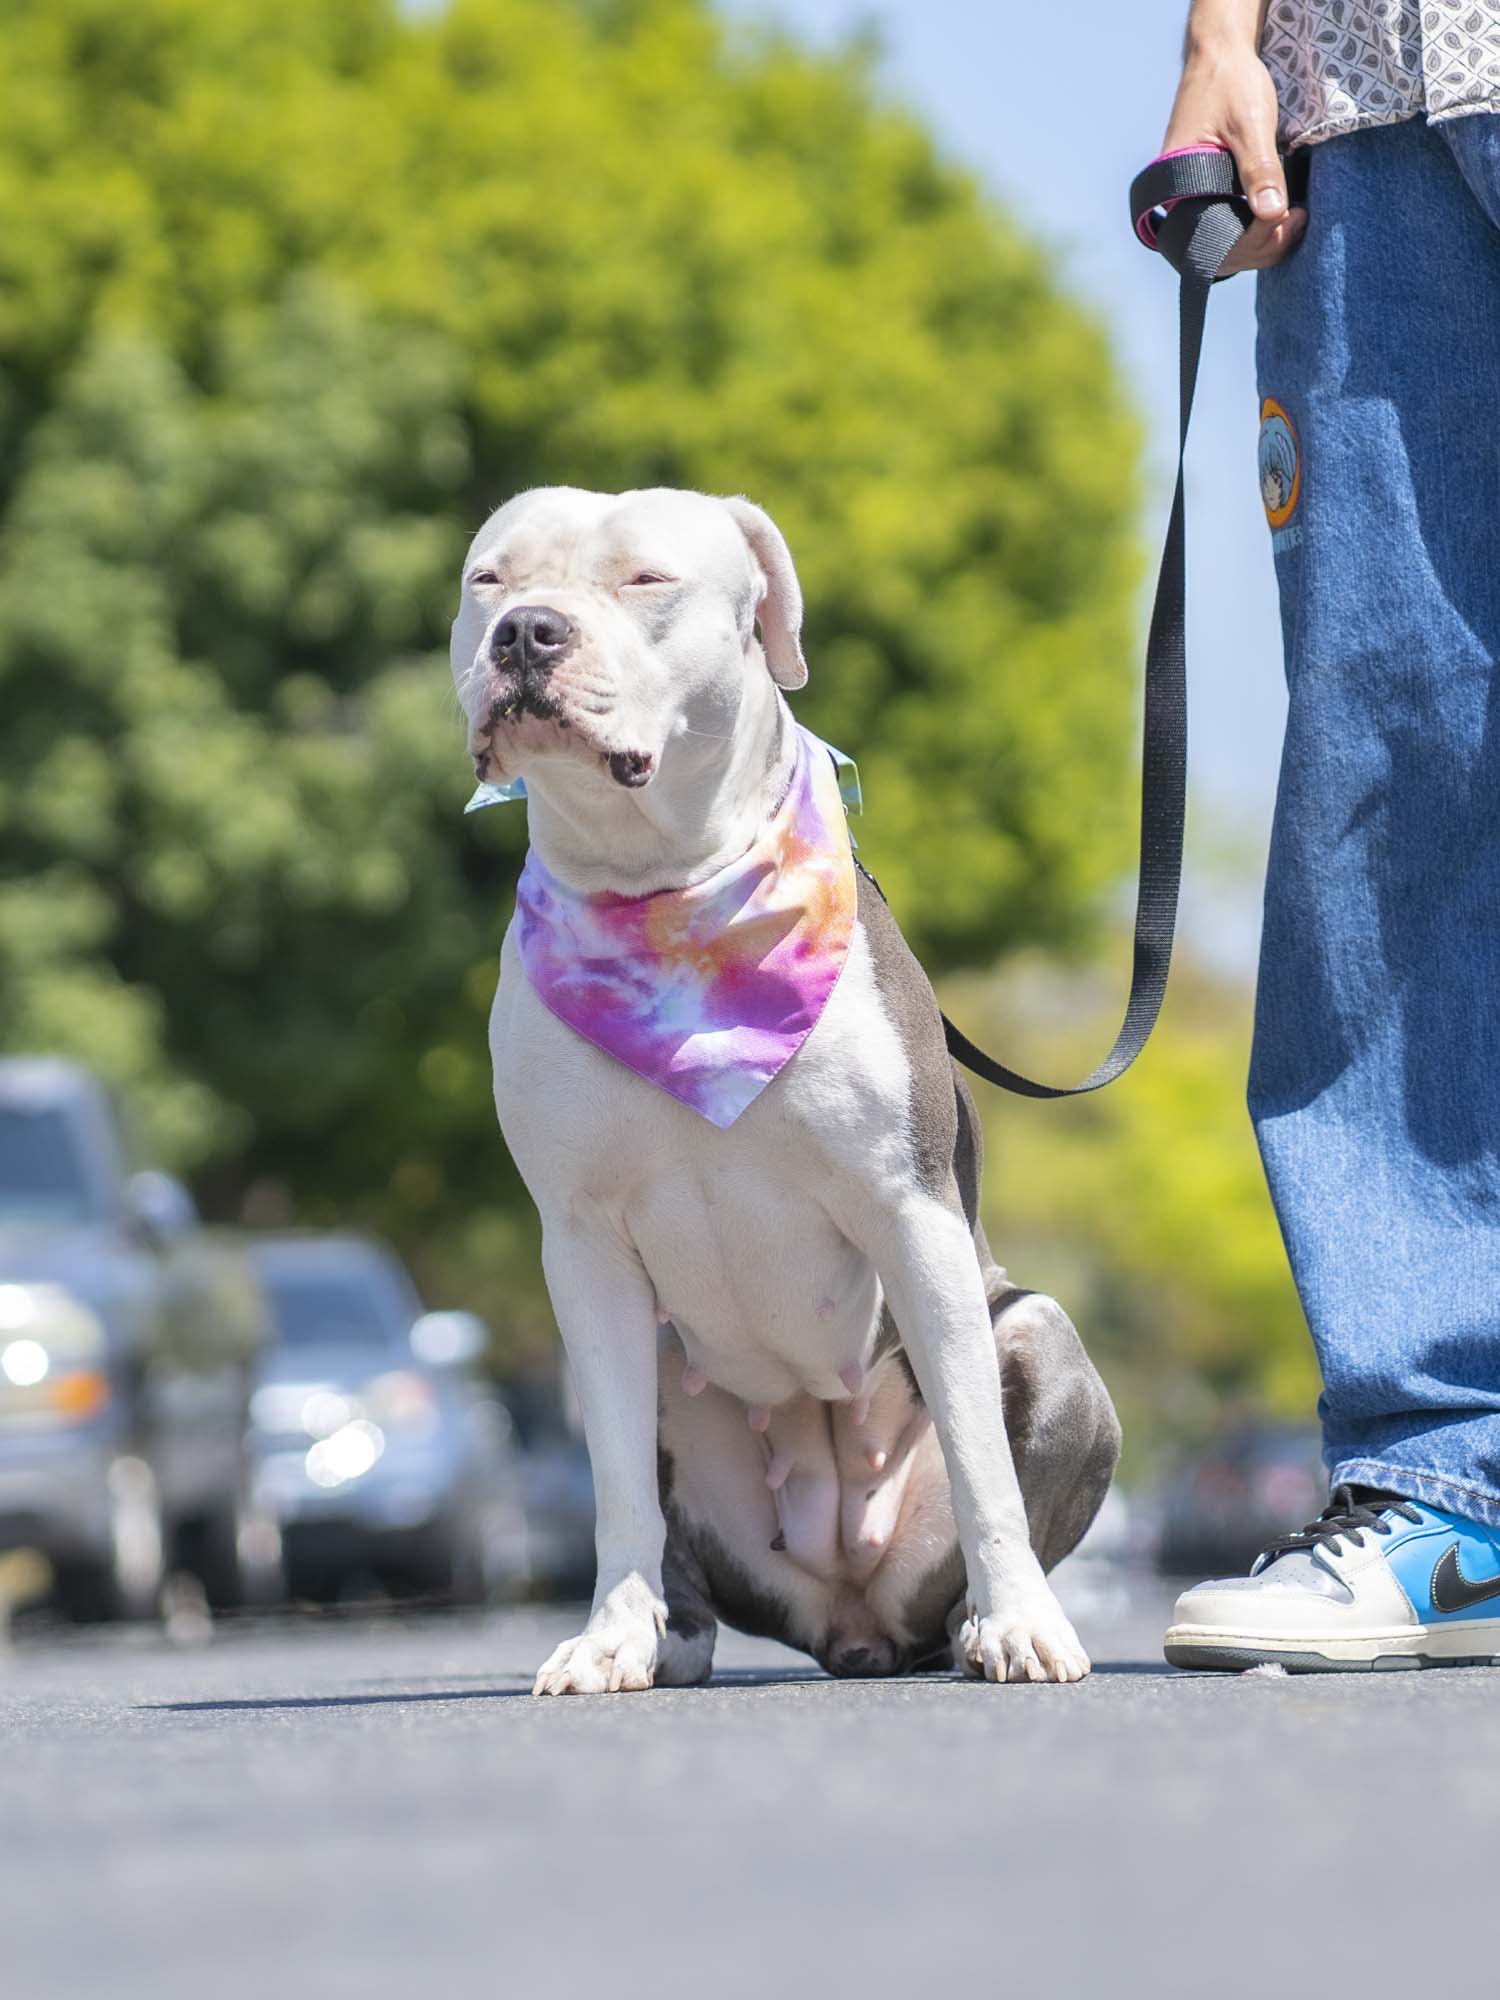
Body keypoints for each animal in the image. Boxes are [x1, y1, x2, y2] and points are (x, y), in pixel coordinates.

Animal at [452, 484, 1120, 1688]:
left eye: (646, 579)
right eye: (491, 579)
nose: (526, 631)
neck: (665, 896)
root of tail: (850, 1614)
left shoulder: (911, 1209)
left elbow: (977, 1450)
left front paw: (1021, 1621)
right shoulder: (580, 1242)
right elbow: (617, 1481)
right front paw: (610, 1634)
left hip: (1038, 1330)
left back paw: (978, 1621)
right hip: (663, 1368)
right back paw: (663, 1637)